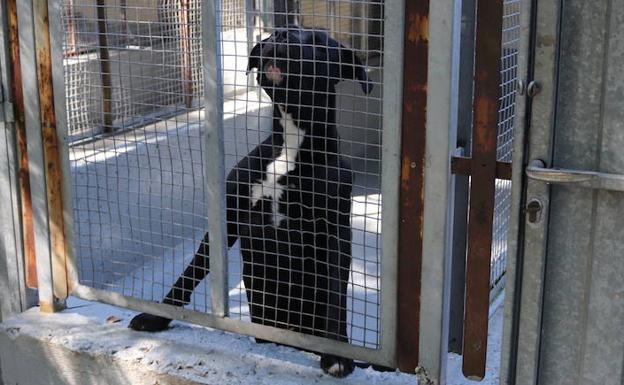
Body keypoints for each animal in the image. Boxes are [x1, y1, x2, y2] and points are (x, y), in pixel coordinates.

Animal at [127, 27, 370, 378]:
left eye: (319, 42)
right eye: (274, 35)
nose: (281, 34)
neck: (290, 145)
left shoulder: (335, 229)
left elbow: (337, 292)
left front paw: (336, 352)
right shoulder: (229, 215)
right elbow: (191, 271)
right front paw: (157, 316)